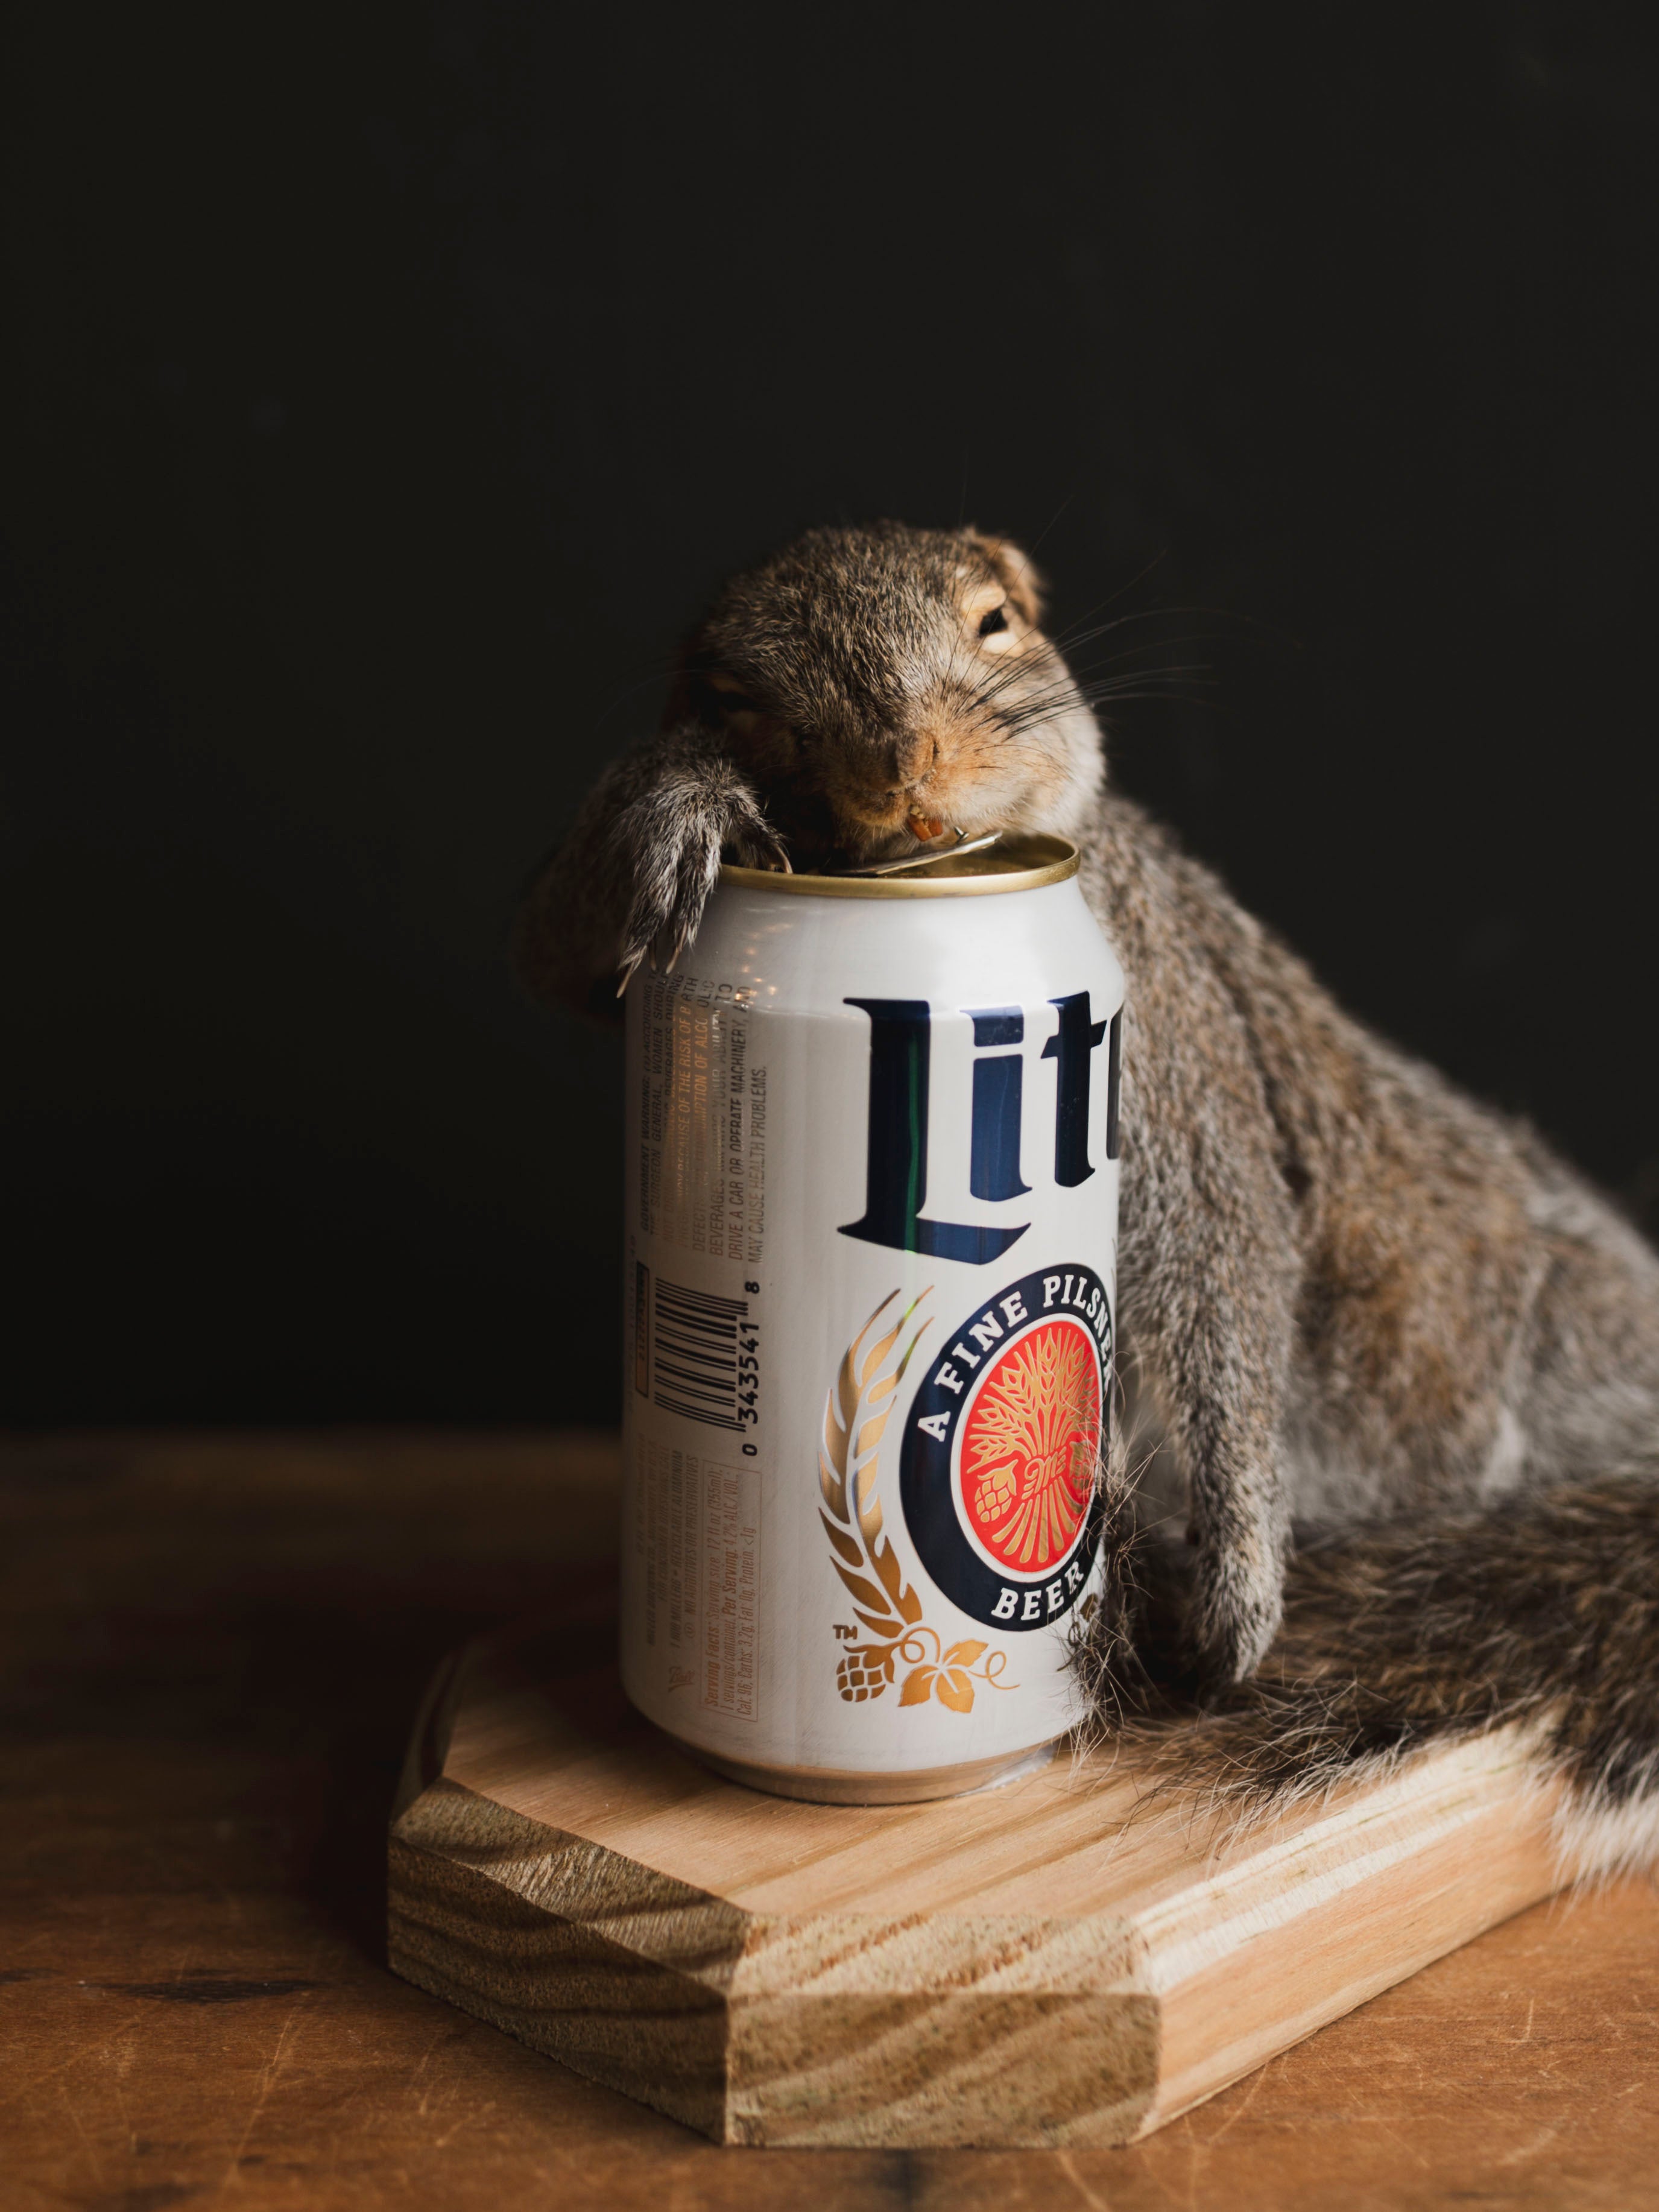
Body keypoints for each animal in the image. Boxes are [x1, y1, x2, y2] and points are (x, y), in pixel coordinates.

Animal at [517, 520, 1659, 1878]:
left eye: (996, 622)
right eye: (733, 695)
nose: (900, 770)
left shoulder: (1166, 997)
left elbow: (1225, 1247)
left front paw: (1238, 1594)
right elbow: (573, 954)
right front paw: (677, 799)